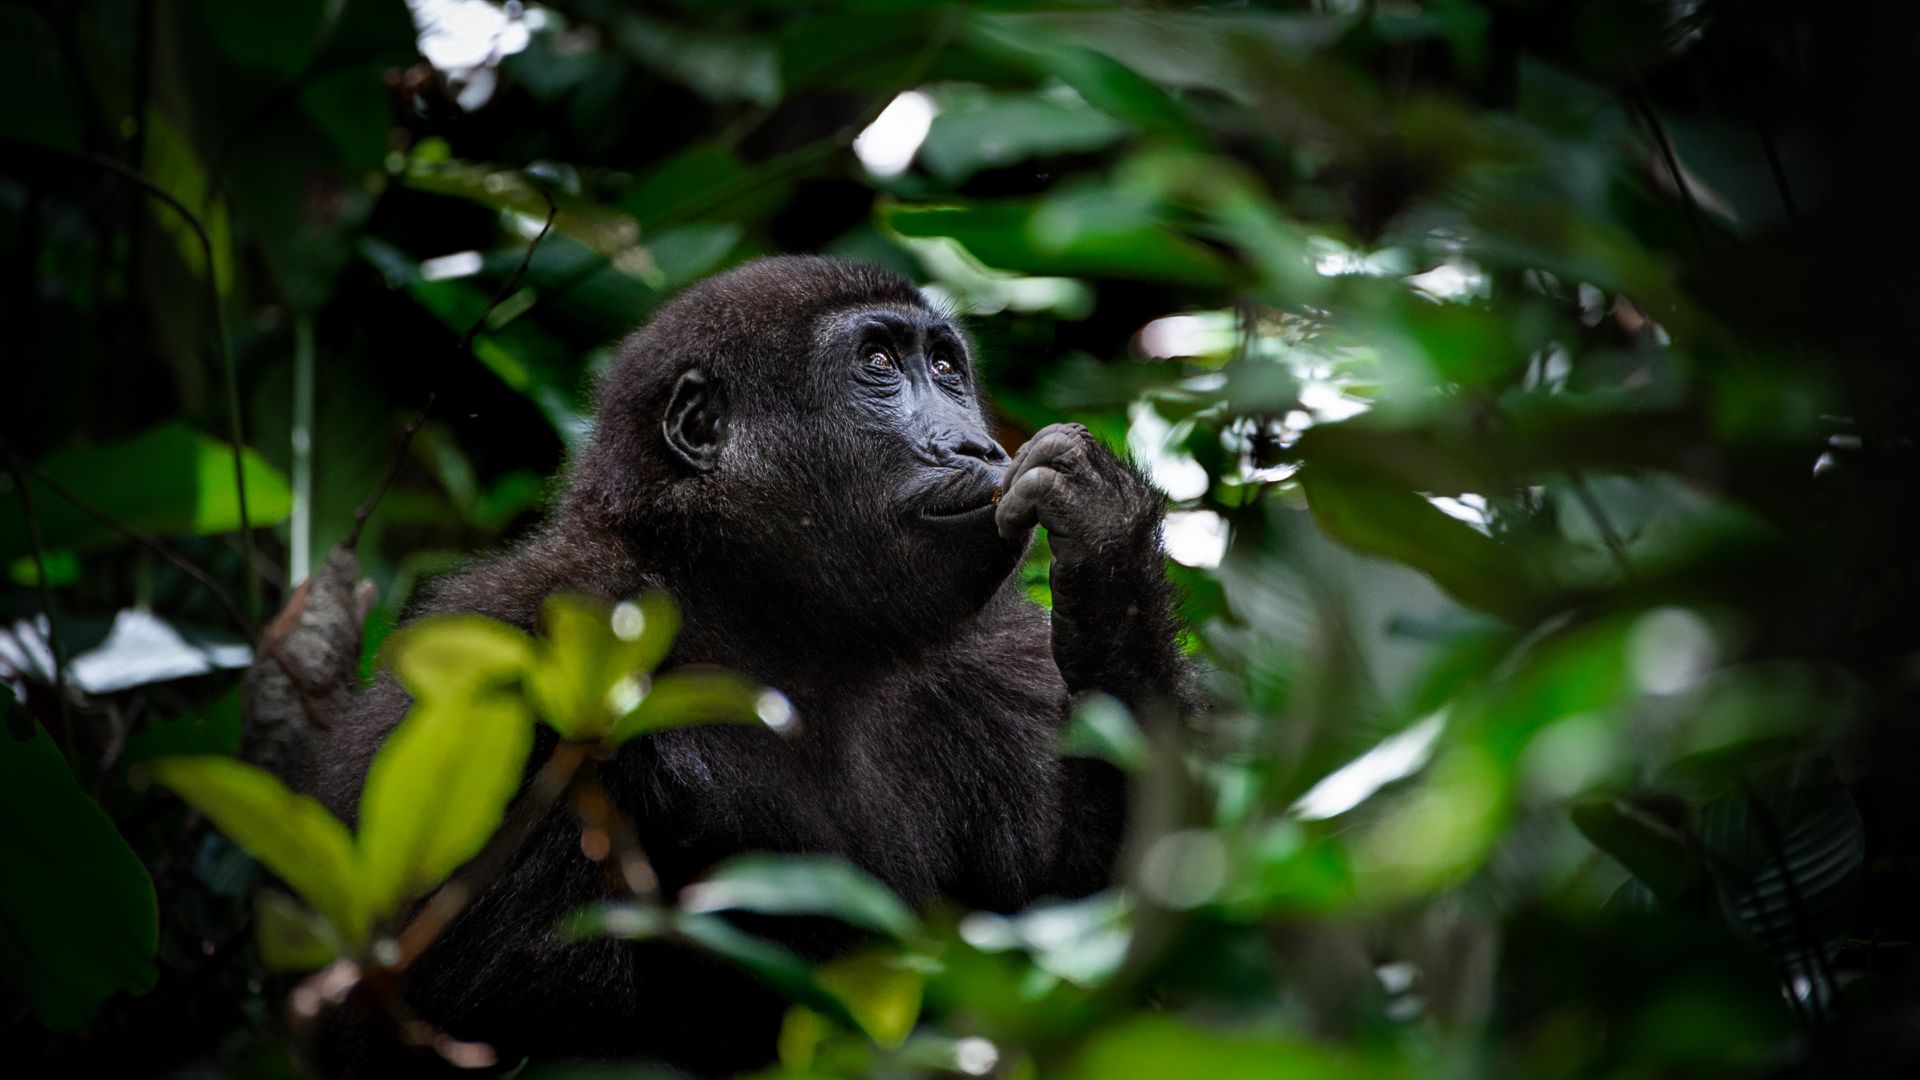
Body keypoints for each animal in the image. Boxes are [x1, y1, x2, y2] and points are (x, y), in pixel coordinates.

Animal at [303, 256, 1200, 1074]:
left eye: (947, 368)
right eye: (879, 362)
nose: (976, 443)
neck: (755, 605)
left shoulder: (999, 656)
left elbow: (1071, 934)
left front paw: (1106, 545)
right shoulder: (513, 661)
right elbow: (505, 1024)